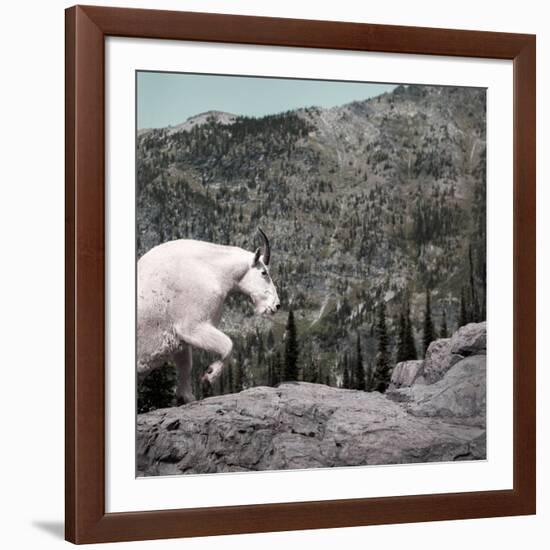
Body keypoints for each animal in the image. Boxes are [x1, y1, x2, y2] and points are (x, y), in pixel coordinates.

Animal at [138, 229, 280, 406]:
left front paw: (185, 397)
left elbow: (186, 366)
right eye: (264, 272)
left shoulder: (180, 339)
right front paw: (209, 377)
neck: (213, 271)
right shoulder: (193, 326)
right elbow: (228, 345)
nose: (276, 305)